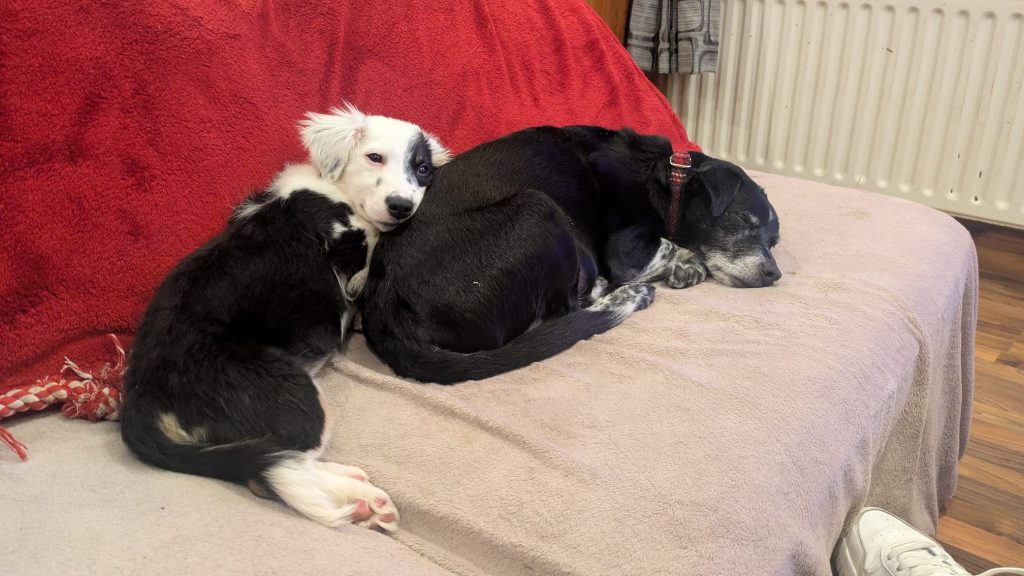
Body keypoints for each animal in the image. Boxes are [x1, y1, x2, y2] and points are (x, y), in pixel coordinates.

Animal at [120, 104, 449, 530]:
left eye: (422, 168)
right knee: (274, 468)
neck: (335, 191)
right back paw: (360, 496)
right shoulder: (348, 244)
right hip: (296, 396)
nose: (402, 207)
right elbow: (372, 246)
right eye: (374, 157)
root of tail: (140, 397)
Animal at [360, 126, 780, 385]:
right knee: (570, 311)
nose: (775, 275)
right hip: (539, 210)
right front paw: (689, 264)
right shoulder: (627, 251)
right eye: (744, 219)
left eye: (774, 240)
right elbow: (673, 245)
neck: (667, 181)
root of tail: (385, 310)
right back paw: (626, 297)